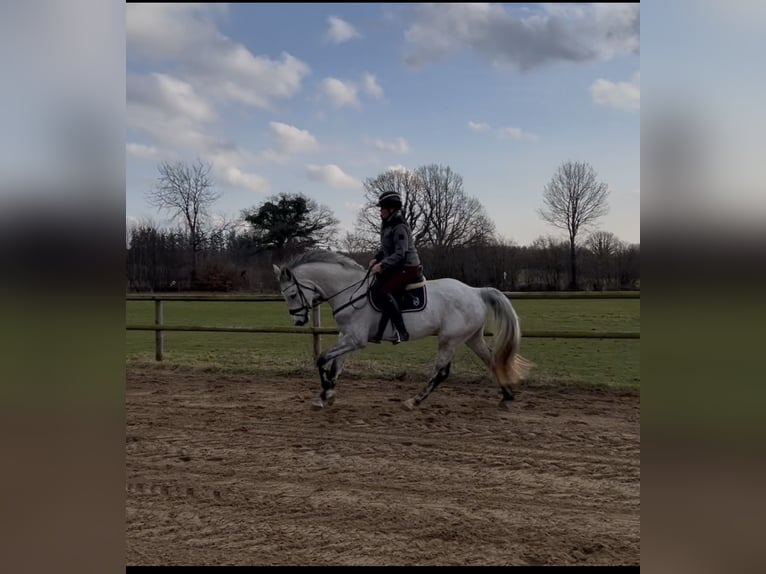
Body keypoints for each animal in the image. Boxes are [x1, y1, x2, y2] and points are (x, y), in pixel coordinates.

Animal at [273, 250, 533, 410]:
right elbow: (336, 366)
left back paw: (414, 401)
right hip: (471, 338)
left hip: (449, 340)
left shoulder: (355, 340)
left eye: (292, 294)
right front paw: (327, 394)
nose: (298, 321)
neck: (350, 291)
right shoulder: (346, 337)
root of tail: (475, 291)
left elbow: (322, 359)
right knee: (491, 360)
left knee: (441, 372)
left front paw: (324, 394)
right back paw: (507, 395)